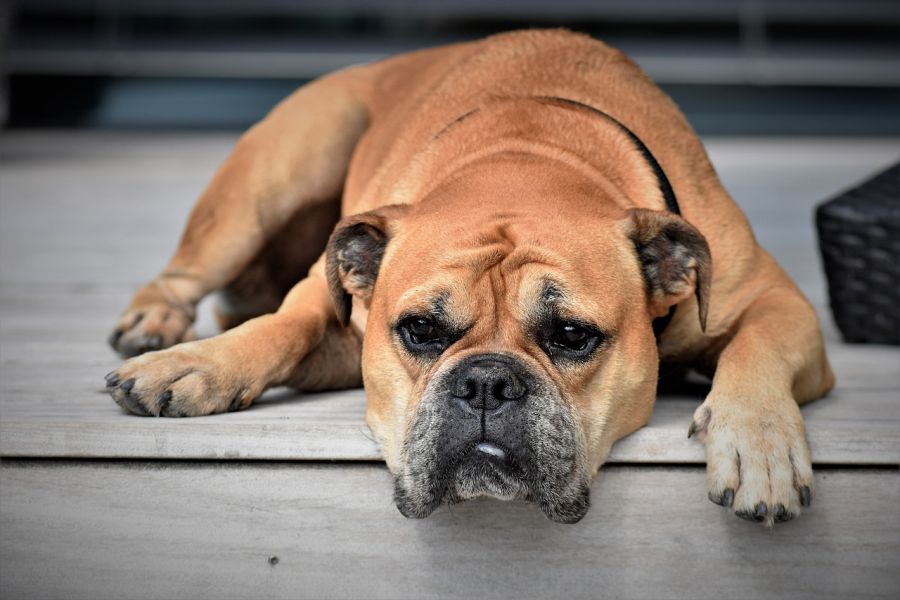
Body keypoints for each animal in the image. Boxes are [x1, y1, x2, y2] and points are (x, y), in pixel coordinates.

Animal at [107, 29, 836, 524]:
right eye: (419, 330)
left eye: (571, 335)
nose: (487, 382)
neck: (528, 156)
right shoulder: (330, 300)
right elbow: (285, 324)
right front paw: (198, 364)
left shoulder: (778, 301)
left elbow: (757, 345)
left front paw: (759, 444)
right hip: (273, 175)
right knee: (188, 273)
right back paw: (156, 325)